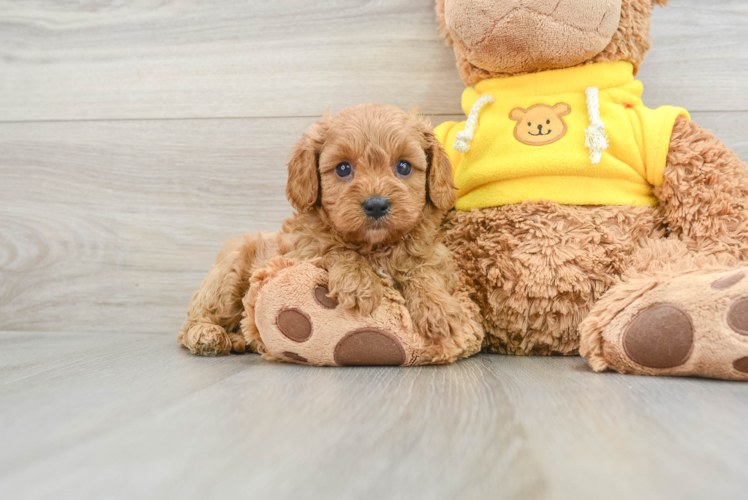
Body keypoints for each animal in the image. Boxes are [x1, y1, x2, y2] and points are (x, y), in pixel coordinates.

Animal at [181, 103, 470, 358]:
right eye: (343, 168)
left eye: (404, 166)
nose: (376, 205)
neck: (374, 246)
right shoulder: (305, 252)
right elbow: (336, 248)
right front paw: (358, 282)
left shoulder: (433, 255)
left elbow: (423, 270)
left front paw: (438, 307)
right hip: (228, 275)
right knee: (194, 321)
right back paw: (208, 335)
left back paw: (239, 339)